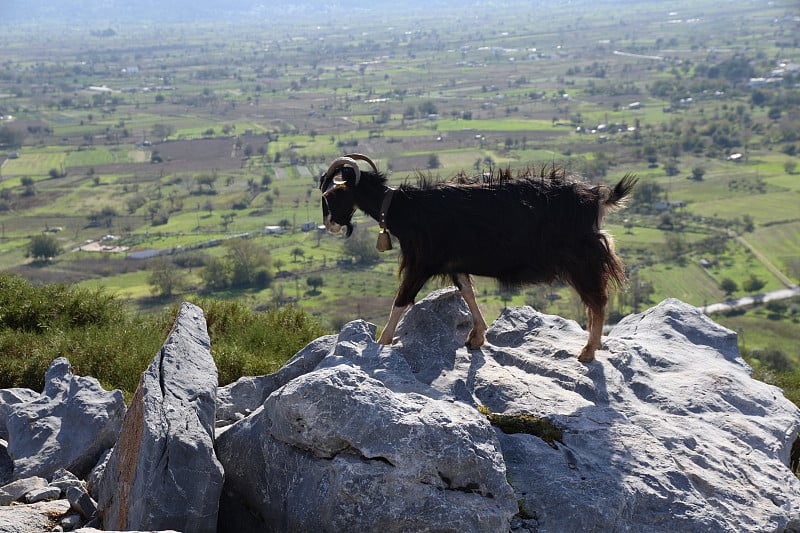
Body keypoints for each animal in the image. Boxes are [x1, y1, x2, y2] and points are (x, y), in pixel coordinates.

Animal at [318, 154, 636, 362]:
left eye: (332, 194)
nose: (330, 225)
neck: (403, 209)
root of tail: (596, 197)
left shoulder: (422, 262)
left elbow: (401, 299)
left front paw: (382, 342)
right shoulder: (454, 263)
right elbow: (467, 291)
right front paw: (477, 336)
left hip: (582, 259)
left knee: (597, 300)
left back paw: (588, 351)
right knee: (595, 301)